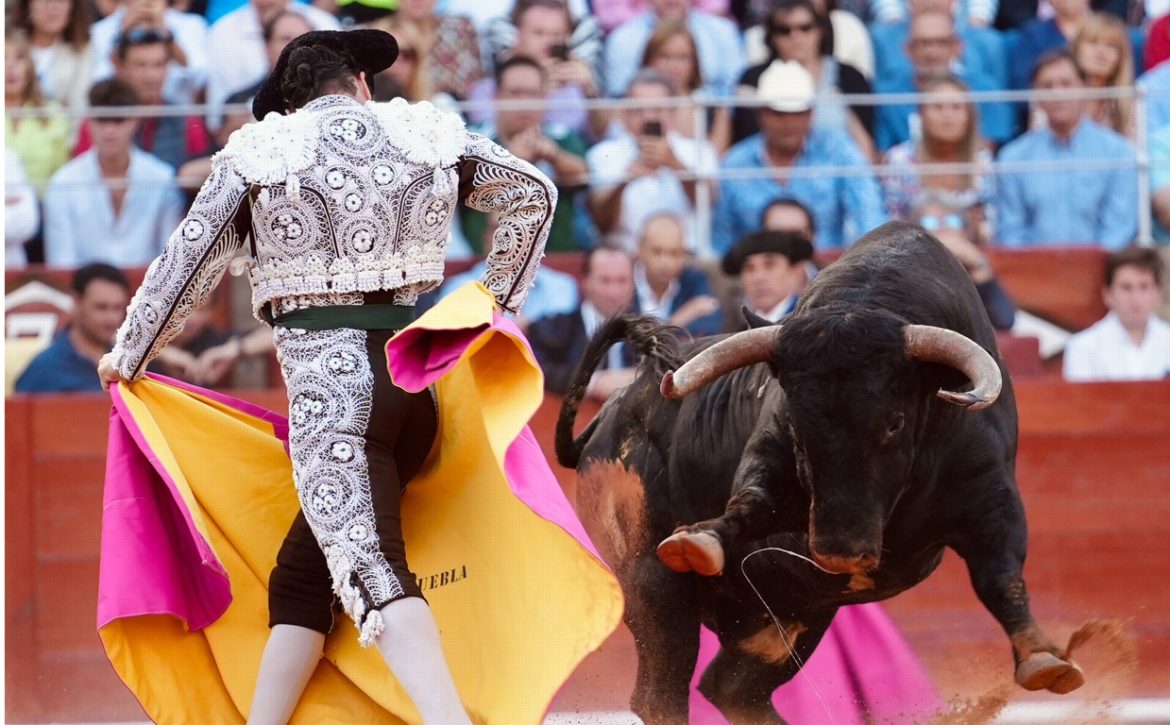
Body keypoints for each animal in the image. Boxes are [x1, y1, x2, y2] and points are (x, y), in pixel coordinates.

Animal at [556, 222, 1085, 725]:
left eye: (894, 421)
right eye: (796, 419)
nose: (840, 552)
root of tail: (605, 420)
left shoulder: (990, 495)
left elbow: (1001, 573)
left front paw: (1044, 659)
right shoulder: (770, 460)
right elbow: (751, 500)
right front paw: (699, 541)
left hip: (790, 615)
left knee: (731, 688)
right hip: (654, 588)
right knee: (663, 692)